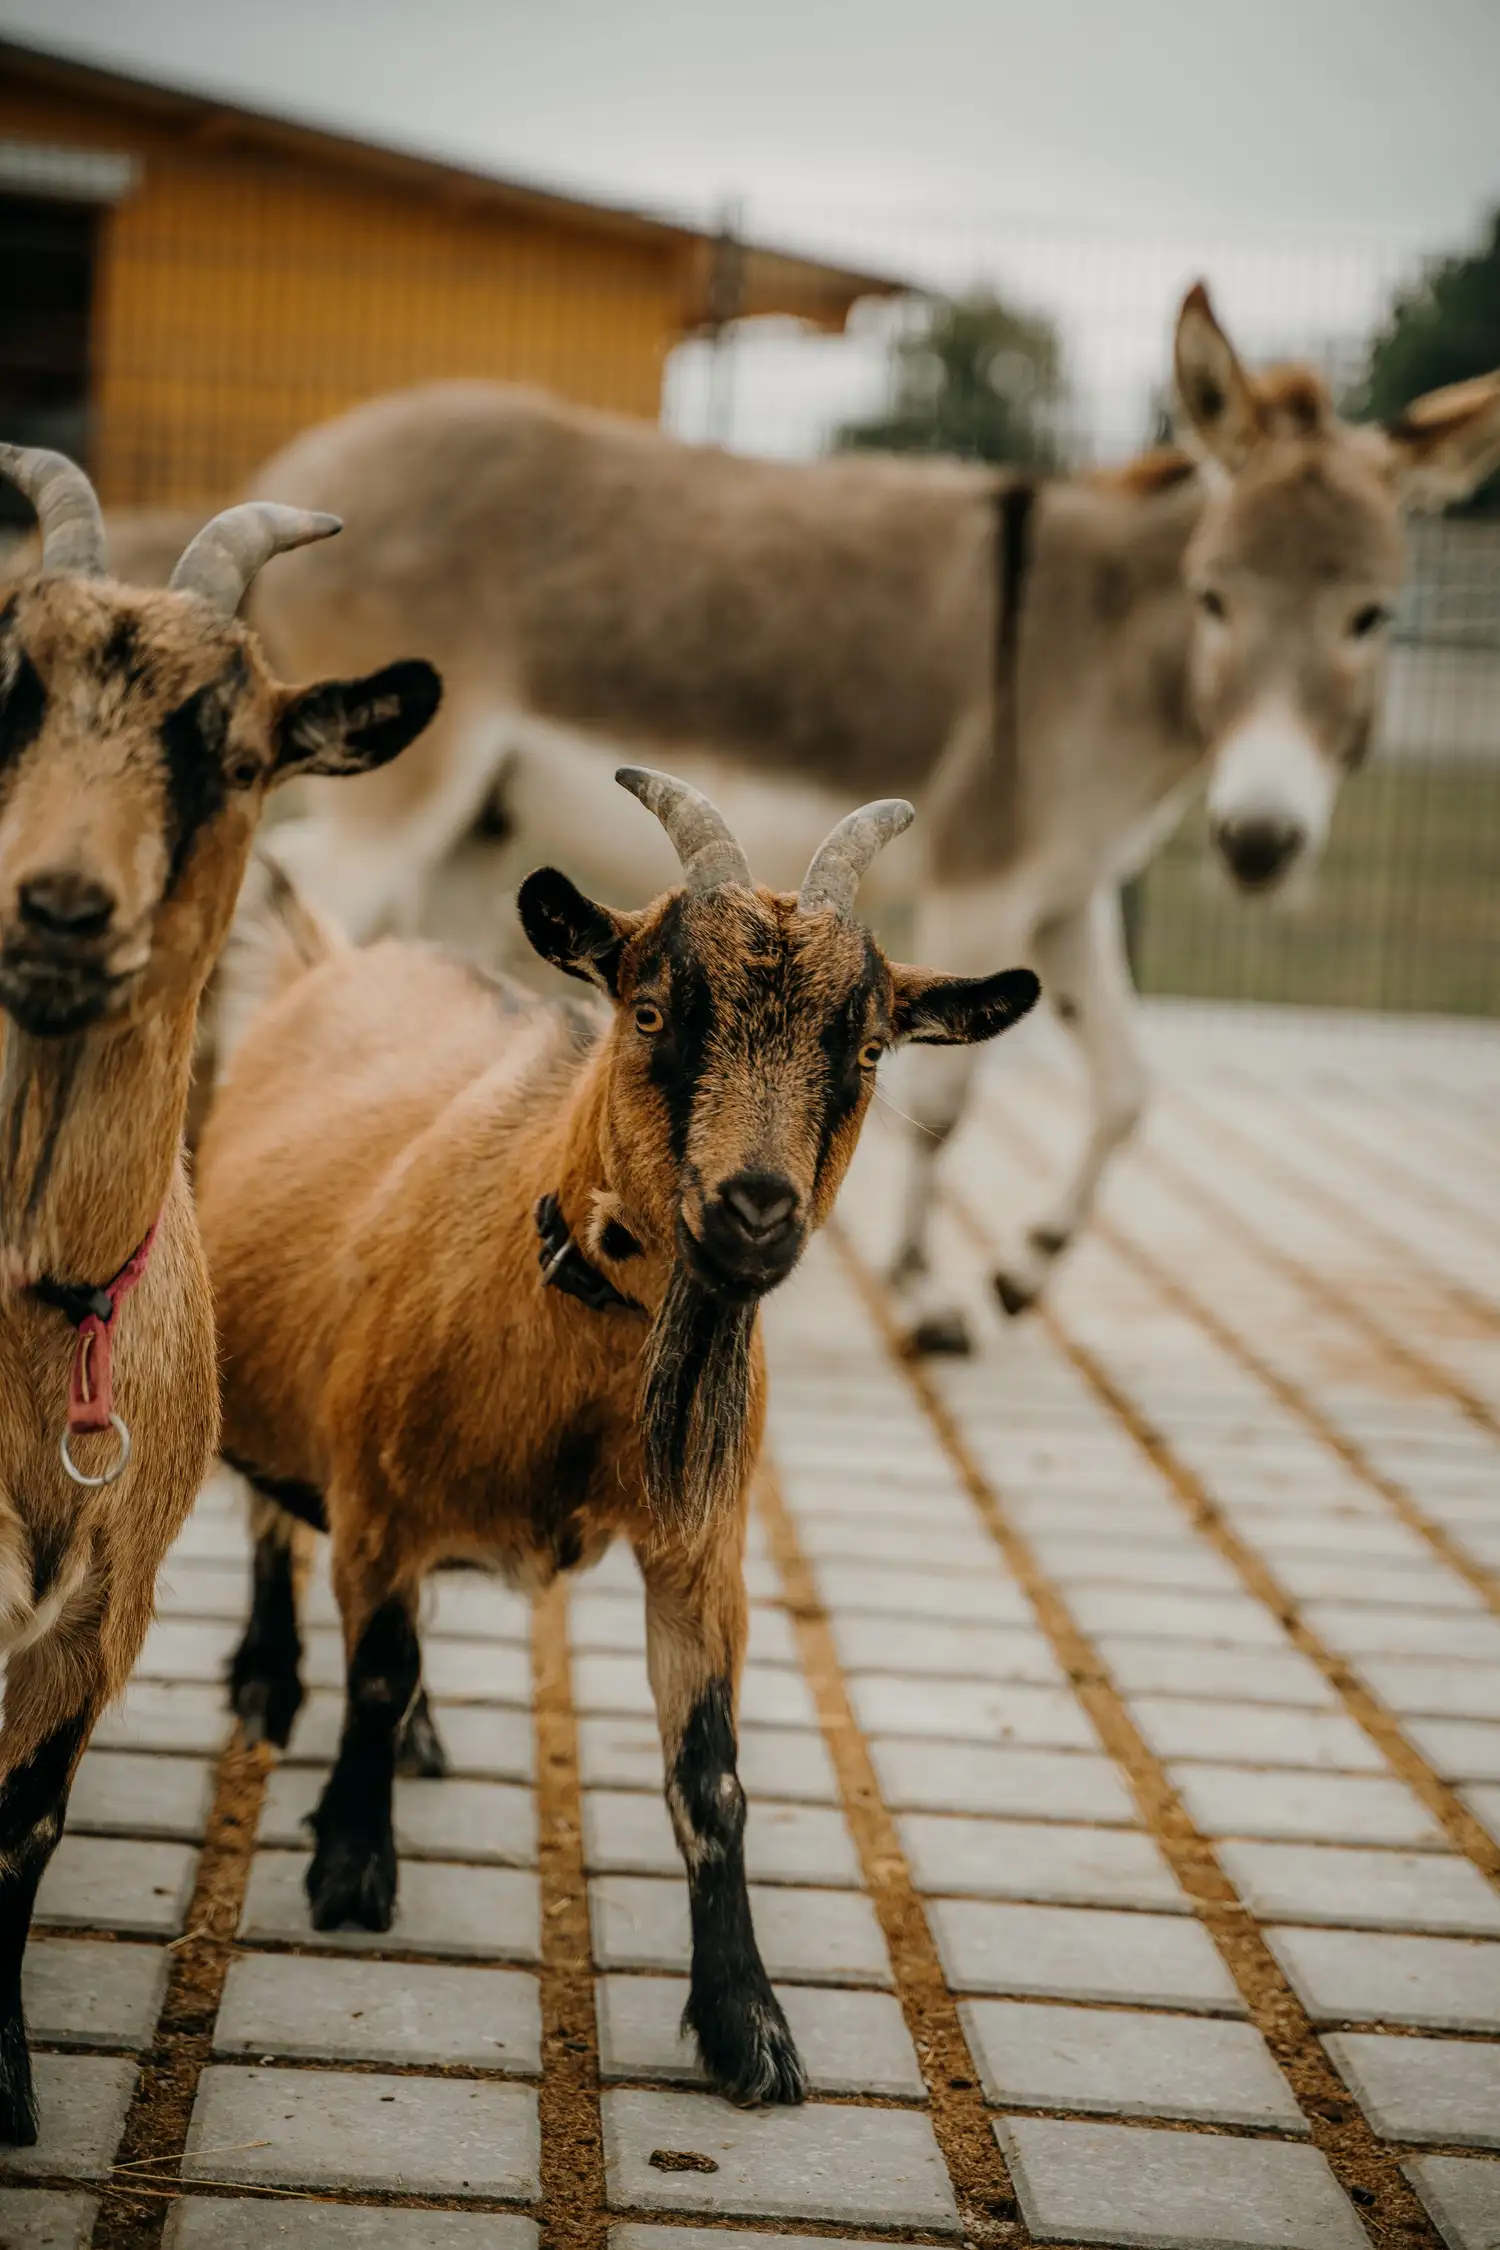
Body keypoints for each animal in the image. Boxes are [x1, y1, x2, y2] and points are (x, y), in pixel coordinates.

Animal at [194, 769, 1040, 2104]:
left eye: (864, 1051)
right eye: (647, 1012)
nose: (756, 1209)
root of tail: (325, 959)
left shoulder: (698, 1552)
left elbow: (712, 1777)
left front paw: (747, 2025)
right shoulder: (376, 1491)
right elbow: (374, 1669)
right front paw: (350, 1868)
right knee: (281, 1522)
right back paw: (269, 1680)